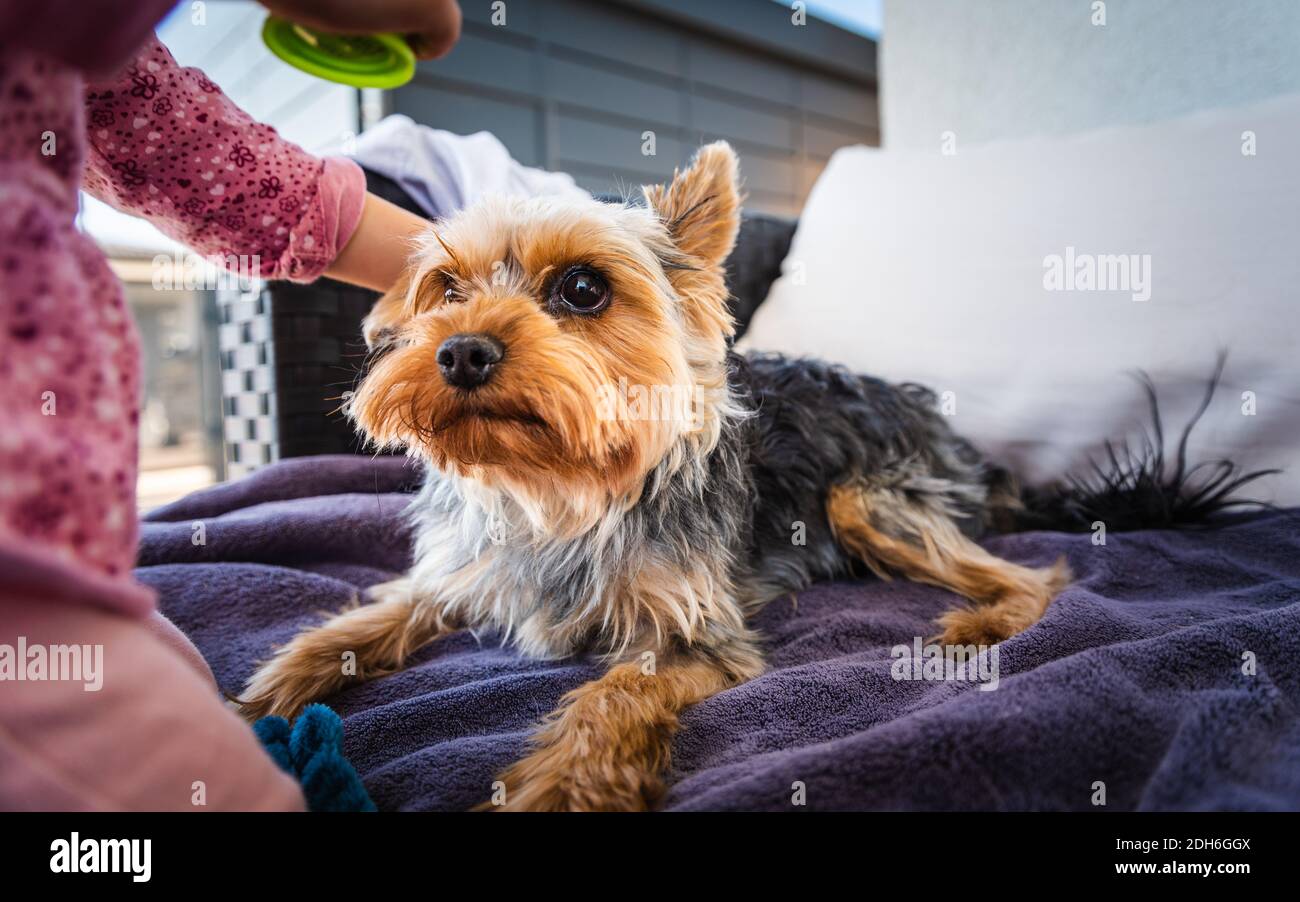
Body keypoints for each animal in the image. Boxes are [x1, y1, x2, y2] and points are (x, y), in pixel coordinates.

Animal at [236, 142, 1076, 811]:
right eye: (445, 288)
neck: (555, 488)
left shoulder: (696, 634)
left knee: (1033, 576)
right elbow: (368, 620)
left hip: (865, 498)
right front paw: (258, 701)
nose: (460, 351)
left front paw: (563, 789)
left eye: (582, 288)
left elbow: (612, 698)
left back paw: (983, 624)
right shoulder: (460, 572)